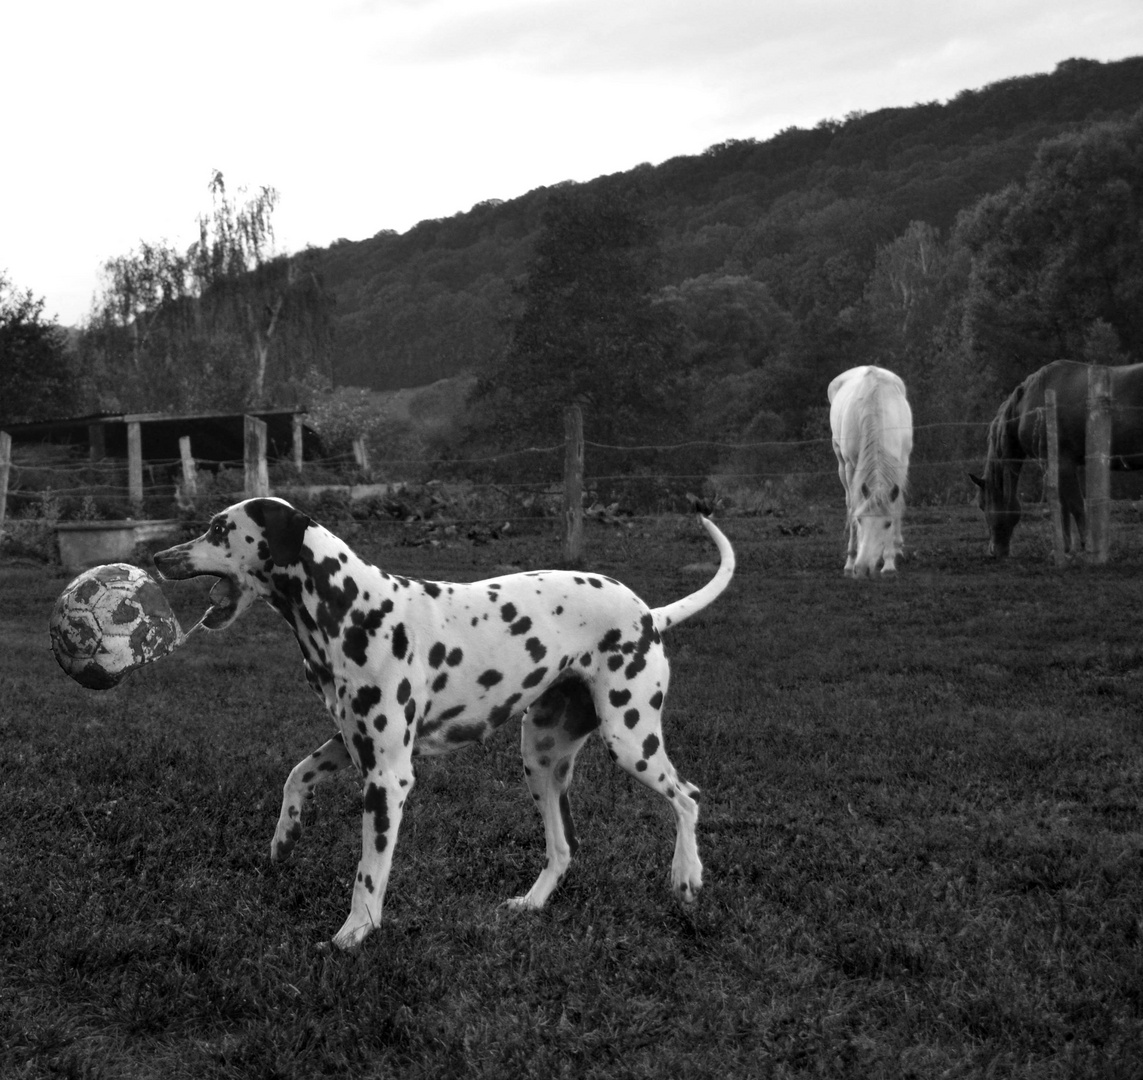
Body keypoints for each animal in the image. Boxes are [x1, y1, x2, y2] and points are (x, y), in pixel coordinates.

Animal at [152, 496, 736, 941]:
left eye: (219, 528)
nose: (158, 556)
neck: (352, 610)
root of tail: (648, 613)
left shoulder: (388, 777)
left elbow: (368, 874)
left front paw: (353, 936)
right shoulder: (352, 743)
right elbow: (295, 776)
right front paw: (285, 836)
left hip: (630, 739)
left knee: (688, 796)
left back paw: (686, 876)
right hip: (541, 758)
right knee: (563, 847)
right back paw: (532, 903)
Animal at [827, 365, 914, 578]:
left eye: (887, 523)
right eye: (860, 521)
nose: (863, 568)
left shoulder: (900, 462)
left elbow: (896, 504)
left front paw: (889, 561)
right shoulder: (851, 466)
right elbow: (853, 505)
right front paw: (850, 561)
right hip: (841, 463)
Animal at [969, 361, 1143, 555]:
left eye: (982, 505)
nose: (994, 550)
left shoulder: (1062, 464)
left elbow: (1075, 505)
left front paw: (1087, 545)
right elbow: (1063, 505)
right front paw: (1065, 548)